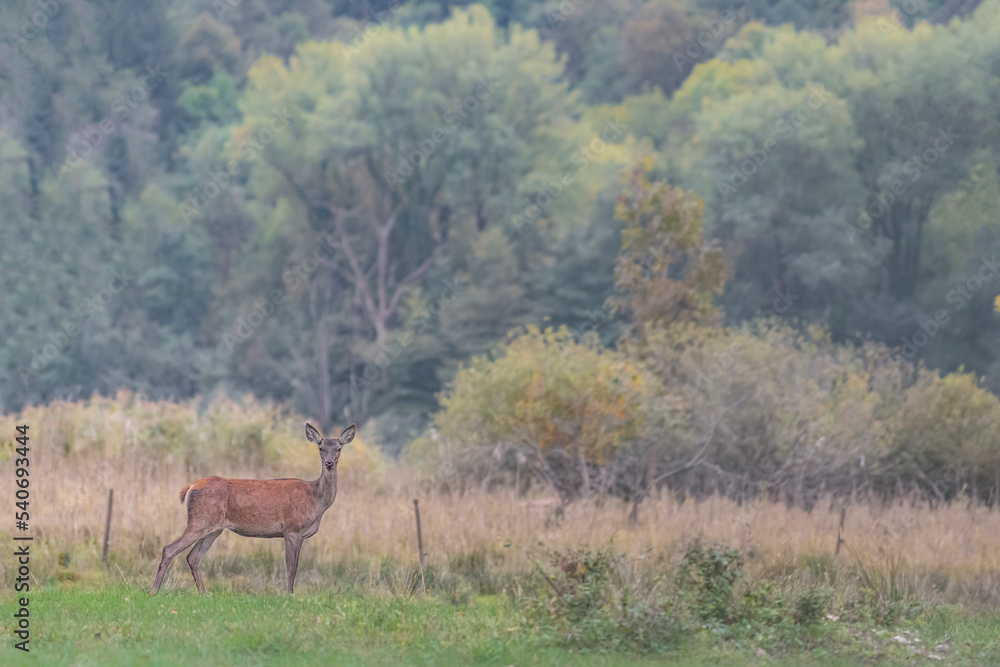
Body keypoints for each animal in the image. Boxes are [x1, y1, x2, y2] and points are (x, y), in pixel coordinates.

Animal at [149, 422, 355, 595]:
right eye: (320, 448)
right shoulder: (291, 529)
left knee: (193, 557)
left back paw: (203, 593)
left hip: (213, 529)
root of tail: (189, 487)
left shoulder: (301, 535)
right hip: (201, 520)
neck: (316, 500)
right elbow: (291, 568)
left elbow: (294, 566)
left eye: (338, 449)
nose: (329, 463)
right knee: (169, 549)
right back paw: (154, 590)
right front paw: (289, 595)